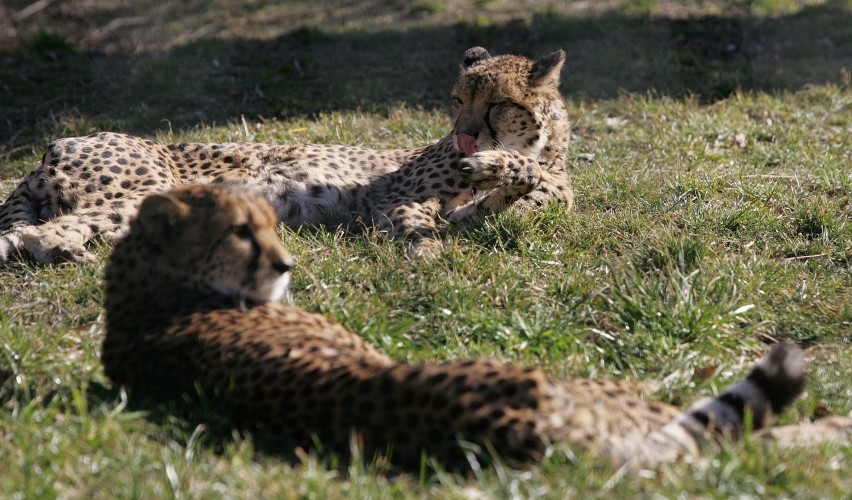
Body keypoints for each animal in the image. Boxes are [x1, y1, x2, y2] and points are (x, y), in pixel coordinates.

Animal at [0, 47, 576, 266]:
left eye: (497, 104)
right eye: (458, 100)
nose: (463, 138)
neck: (544, 150)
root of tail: (52, 145)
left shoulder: (472, 210)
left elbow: (509, 191)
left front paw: (497, 172)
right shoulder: (395, 197)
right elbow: (420, 223)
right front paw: (428, 254)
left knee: (42, 233)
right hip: (151, 188)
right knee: (41, 232)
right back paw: (72, 254)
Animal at [101, 183, 852, 468]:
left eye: (270, 223)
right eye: (240, 231)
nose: (286, 263)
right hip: (595, 395)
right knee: (744, 439)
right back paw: (832, 428)